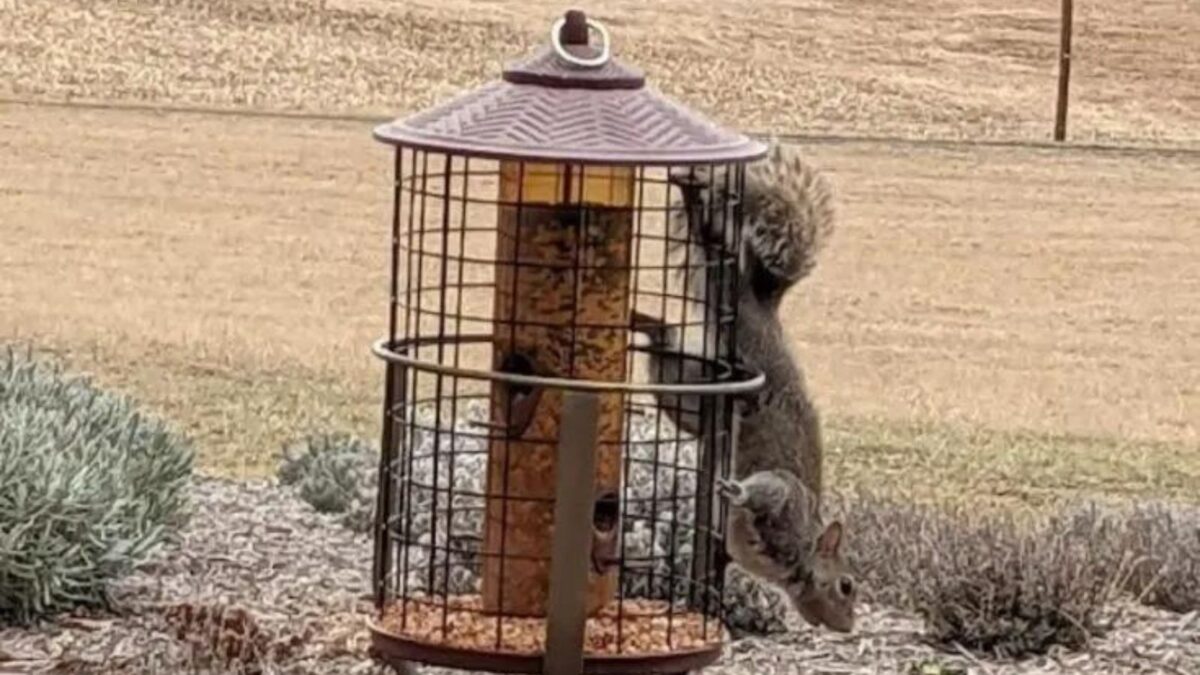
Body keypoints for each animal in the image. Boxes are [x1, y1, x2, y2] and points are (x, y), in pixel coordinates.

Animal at [630, 140, 856, 633]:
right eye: (847, 586)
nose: (848, 626)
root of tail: (764, 305)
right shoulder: (788, 498)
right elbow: (768, 487)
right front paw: (733, 492)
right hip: (725, 292)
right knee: (713, 246)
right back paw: (692, 195)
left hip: (690, 382)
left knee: (666, 348)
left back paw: (642, 323)